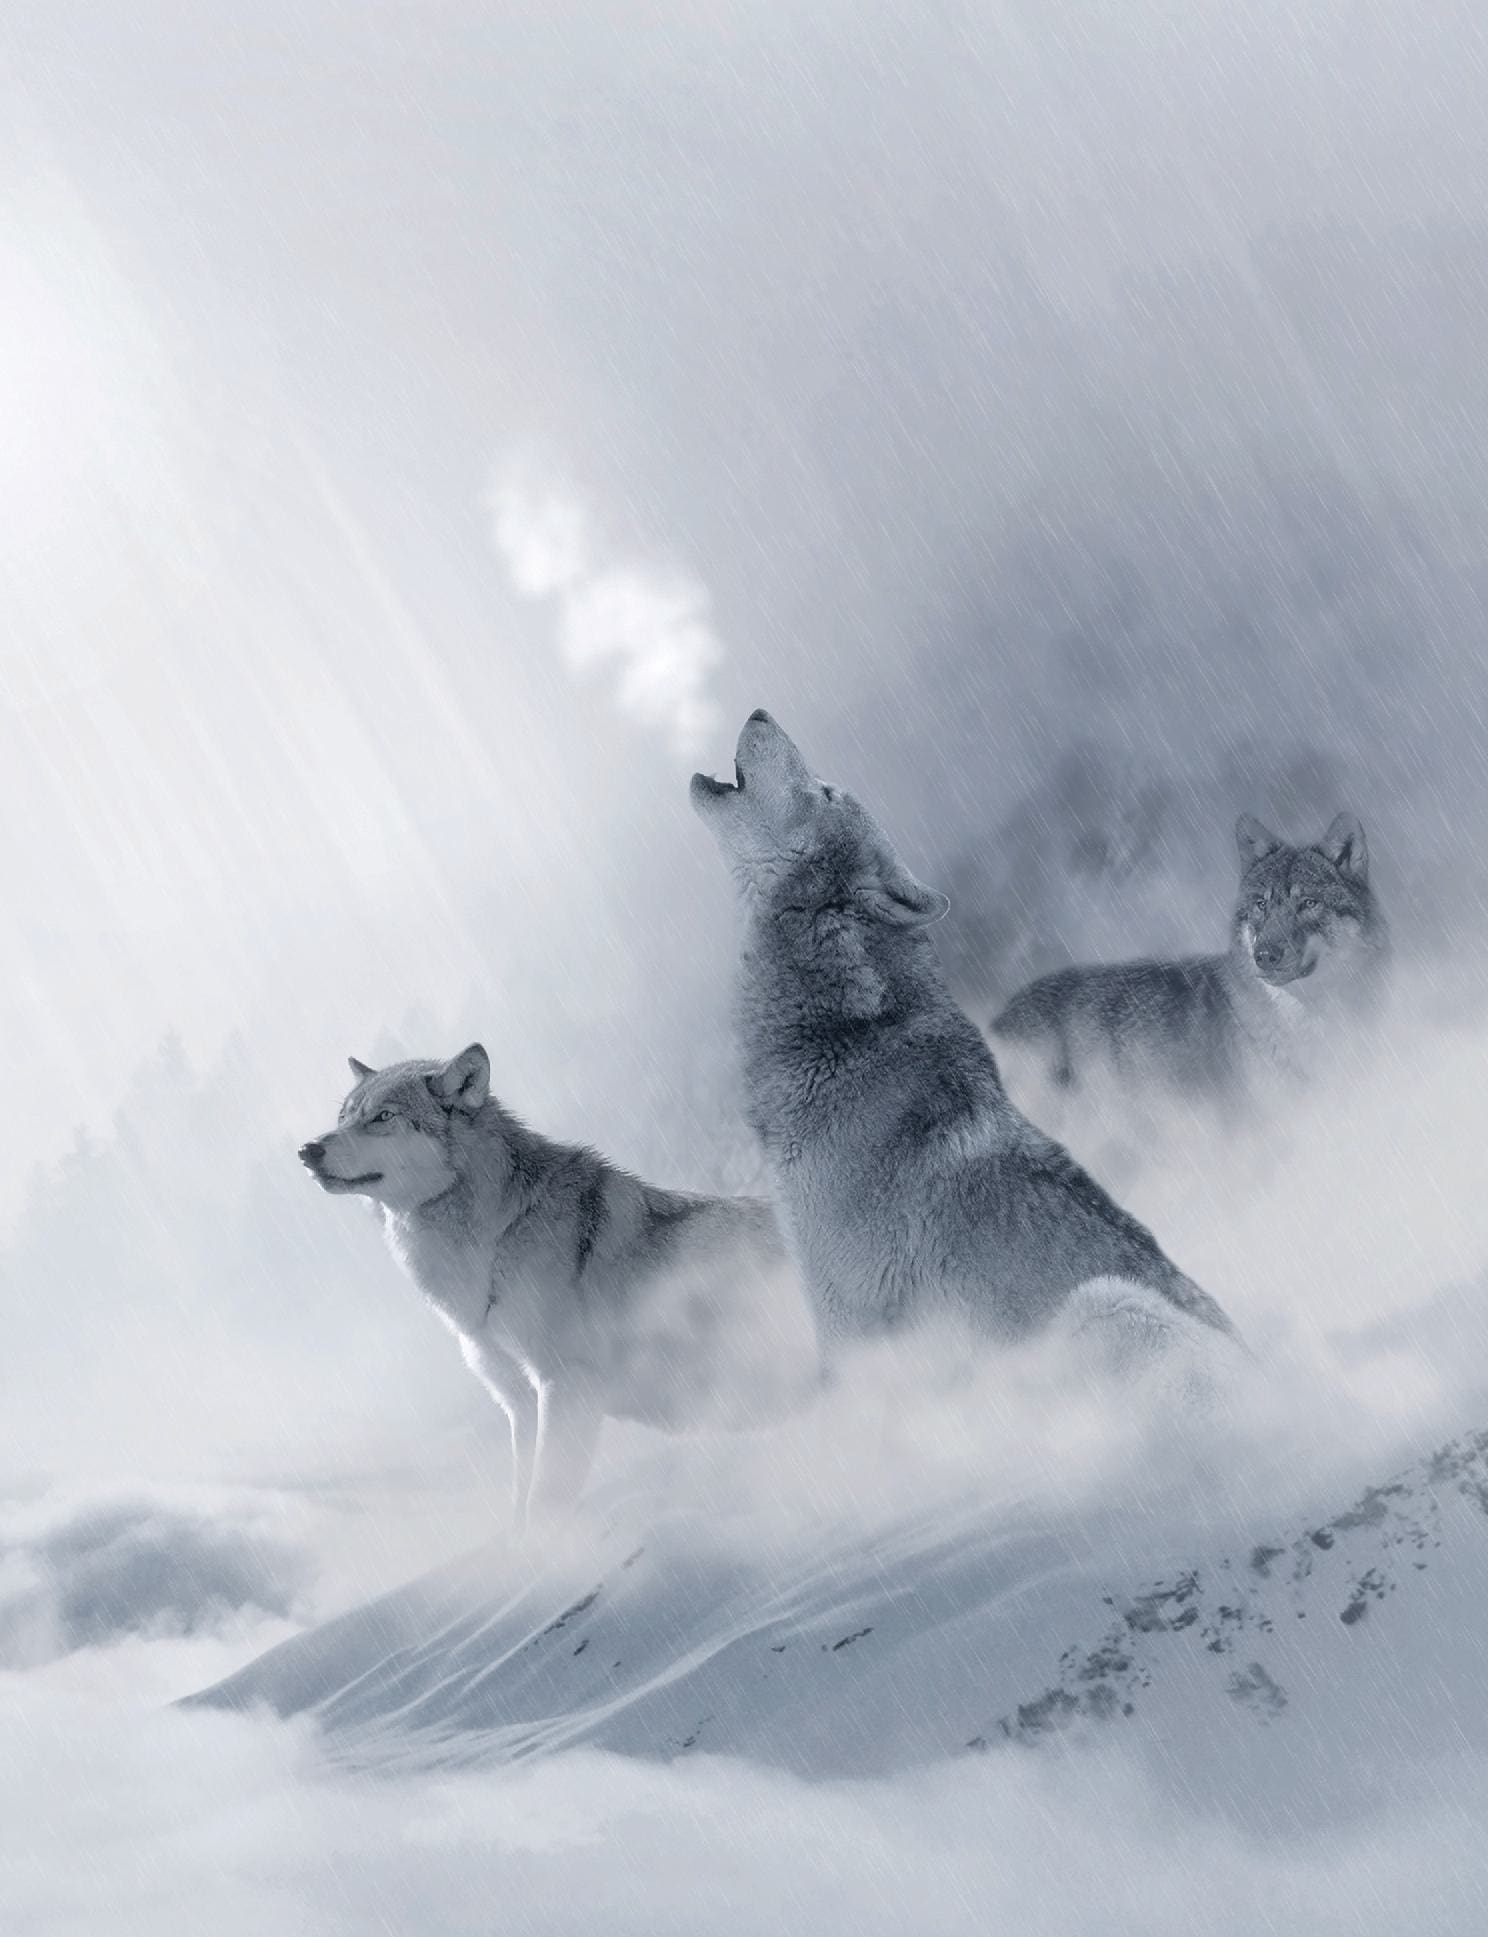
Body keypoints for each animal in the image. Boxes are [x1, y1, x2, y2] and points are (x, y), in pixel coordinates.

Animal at [299, 1045, 815, 1522]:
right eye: (343, 1117)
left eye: (383, 1117)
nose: (308, 1151)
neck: (495, 1241)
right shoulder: (521, 1406)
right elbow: (520, 1507)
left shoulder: (566, 1387)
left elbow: (544, 1504)